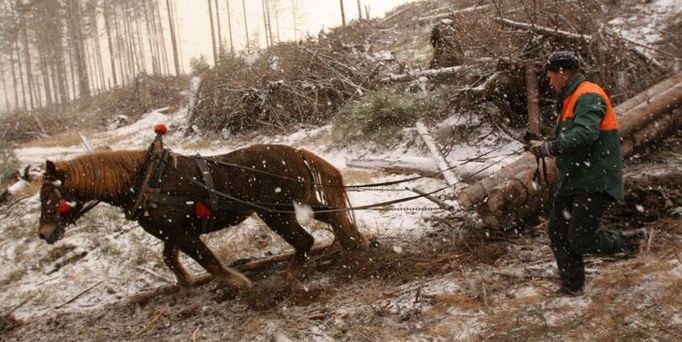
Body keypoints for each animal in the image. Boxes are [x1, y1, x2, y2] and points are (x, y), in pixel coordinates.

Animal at [37, 146, 366, 292]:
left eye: (50, 196)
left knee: (305, 240)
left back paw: (289, 276)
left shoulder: (184, 235)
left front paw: (239, 282)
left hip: (276, 213)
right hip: (298, 204)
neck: (147, 181)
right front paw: (186, 286)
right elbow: (170, 259)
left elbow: (209, 261)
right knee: (333, 216)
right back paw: (353, 244)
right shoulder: (172, 233)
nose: (44, 233)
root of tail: (296, 152)